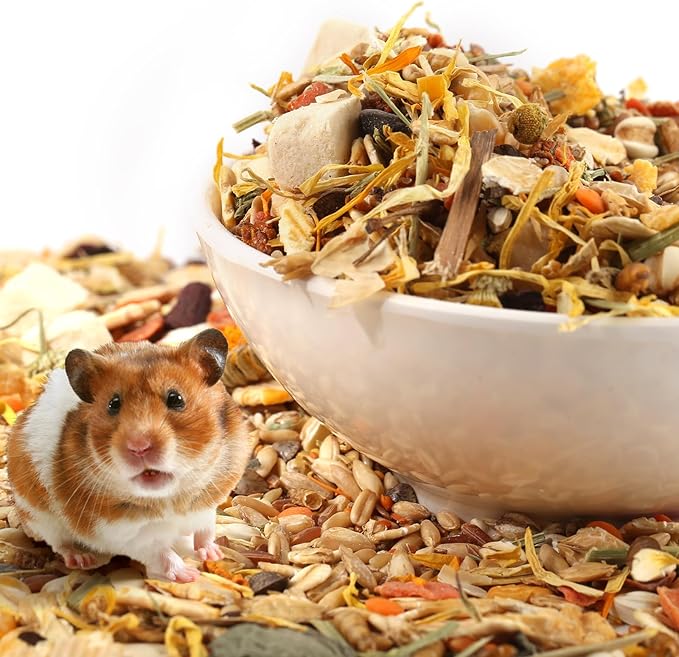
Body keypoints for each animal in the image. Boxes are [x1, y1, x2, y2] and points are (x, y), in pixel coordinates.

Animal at [7, 328, 251, 582]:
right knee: (59, 543)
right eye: (113, 404)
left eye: (176, 399)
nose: (139, 447)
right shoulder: (125, 533)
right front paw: (189, 575)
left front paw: (214, 554)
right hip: (38, 515)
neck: (170, 497)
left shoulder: (205, 507)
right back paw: (82, 559)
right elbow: (162, 554)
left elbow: (206, 532)